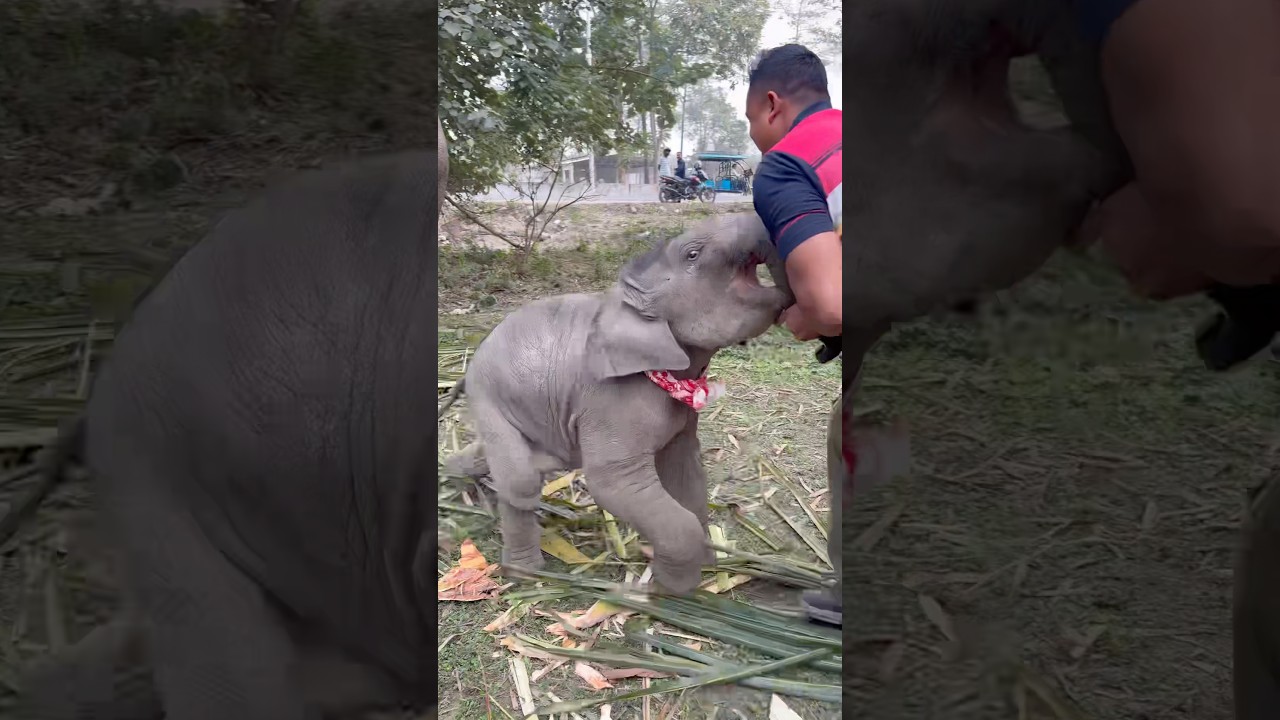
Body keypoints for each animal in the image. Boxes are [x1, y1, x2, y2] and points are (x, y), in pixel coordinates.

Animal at [441, 212, 790, 594]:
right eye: (693, 254)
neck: (623, 303)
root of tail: (469, 365)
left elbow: (687, 474)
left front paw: (708, 568)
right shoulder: (610, 402)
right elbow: (612, 484)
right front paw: (670, 594)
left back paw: (450, 472)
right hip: (489, 395)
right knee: (521, 480)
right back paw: (525, 574)